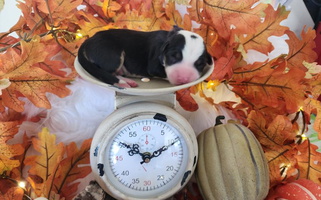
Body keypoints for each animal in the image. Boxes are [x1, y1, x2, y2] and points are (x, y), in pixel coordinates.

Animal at [77, 26, 212, 87]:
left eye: (200, 64)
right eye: (173, 56)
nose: (183, 79)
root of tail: (89, 40)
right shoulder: (153, 66)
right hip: (112, 56)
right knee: (106, 72)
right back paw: (125, 82)